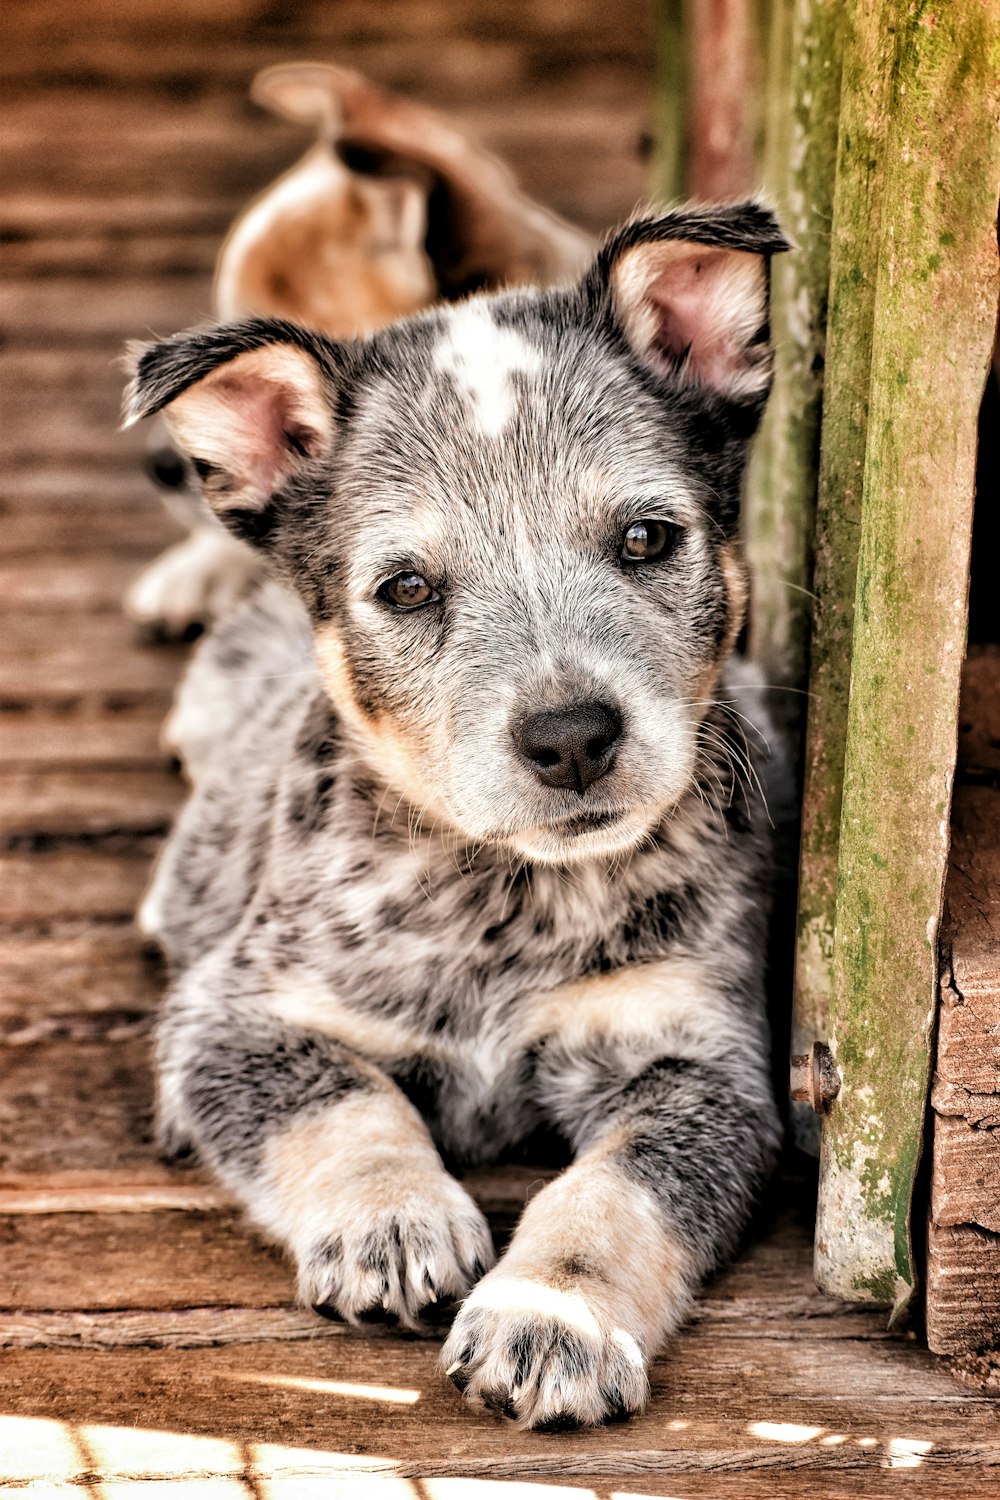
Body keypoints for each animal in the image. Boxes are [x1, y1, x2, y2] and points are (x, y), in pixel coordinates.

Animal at [125, 202, 791, 1428]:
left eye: (645, 538)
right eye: (407, 589)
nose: (572, 736)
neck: (501, 897)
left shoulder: (699, 1065)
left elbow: (612, 1197)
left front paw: (553, 1319)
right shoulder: (234, 1016)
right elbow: (343, 1102)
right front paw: (393, 1219)